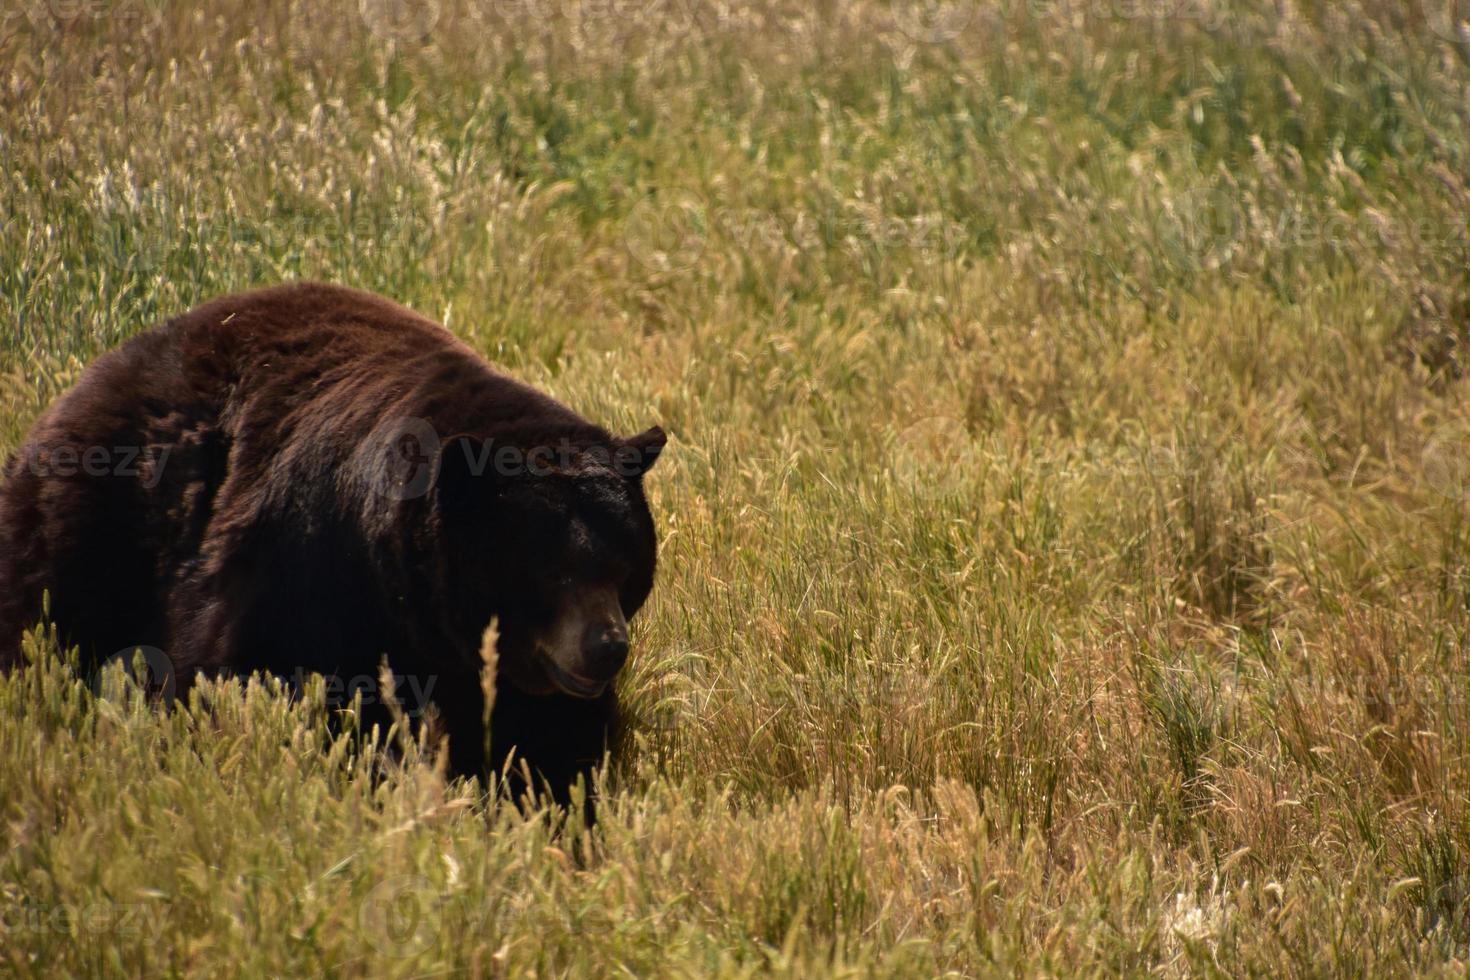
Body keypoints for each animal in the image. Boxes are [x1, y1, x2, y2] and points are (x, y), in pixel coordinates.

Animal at [0, 283, 667, 811]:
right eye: (549, 571)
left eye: (624, 566)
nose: (607, 647)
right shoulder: (298, 579)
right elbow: (234, 682)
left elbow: (551, 752)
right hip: (88, 527)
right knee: (45, 618)